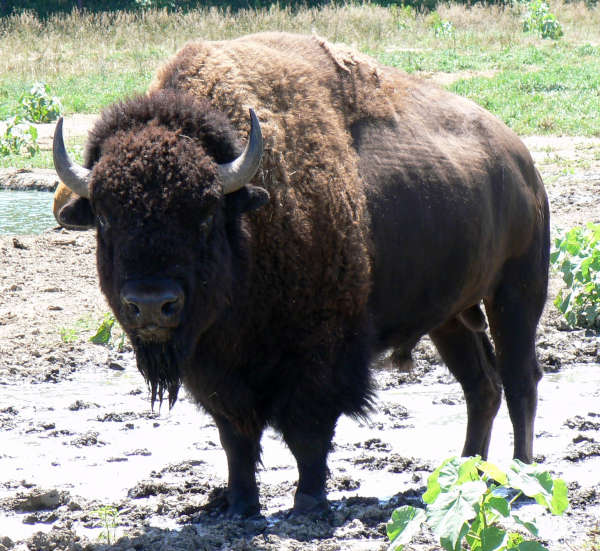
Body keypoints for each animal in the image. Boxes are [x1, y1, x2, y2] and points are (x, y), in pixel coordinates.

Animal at [54, 33, 552, 516]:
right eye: (105, 218)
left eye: (205, 214)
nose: (152, 303)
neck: (248, 221)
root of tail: (522, 160)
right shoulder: (216, 370)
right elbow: (236, 438)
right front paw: (239, 505)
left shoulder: (319, 353)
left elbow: (307, 432)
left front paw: (308, 502)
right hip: (451, 317)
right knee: (481, 386)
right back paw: (467, 474)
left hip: (516, 294)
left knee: (519, 380)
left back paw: (519, 476)